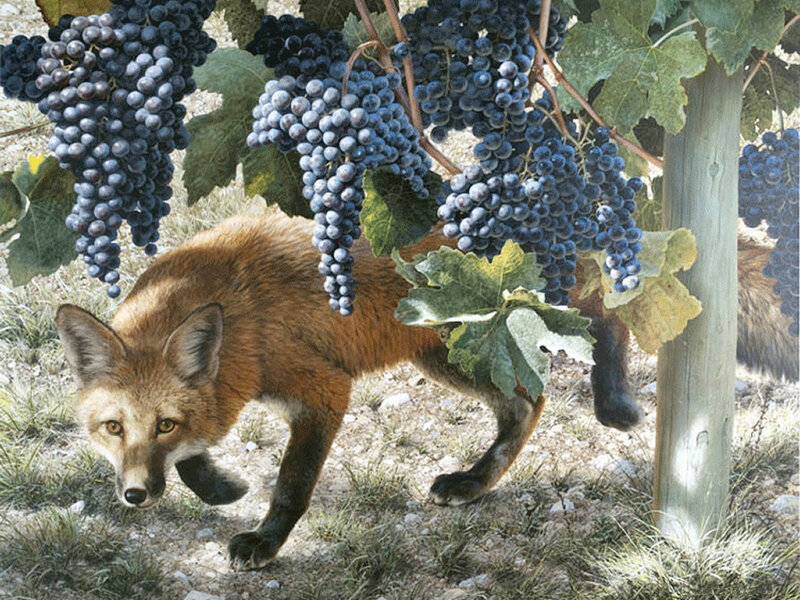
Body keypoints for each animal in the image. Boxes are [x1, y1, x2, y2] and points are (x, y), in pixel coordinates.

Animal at [56, 212, 797, 571]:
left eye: (164, 423)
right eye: (114, 428)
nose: (133, 497)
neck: (239, 322)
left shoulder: (323, 390)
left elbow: (292, 485)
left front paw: (264, 542)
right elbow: (199, 460)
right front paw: (218, 487)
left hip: (501, 327)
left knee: (602, 317)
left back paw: (612, 398)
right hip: (449, 353)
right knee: (527, 401)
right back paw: (475, 481)